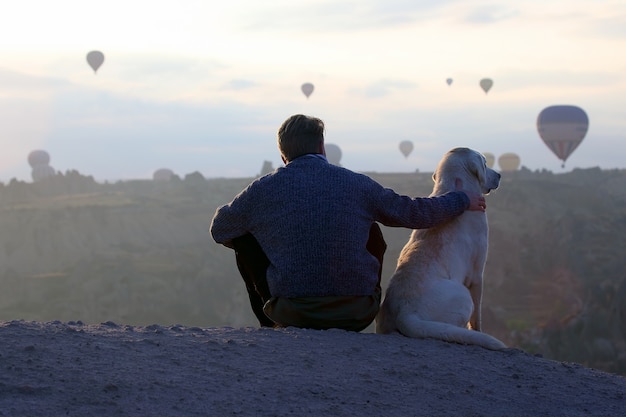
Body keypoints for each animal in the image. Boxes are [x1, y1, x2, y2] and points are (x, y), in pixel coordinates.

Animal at [372, 148, 504, 350]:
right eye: (484, 163)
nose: (499, 175)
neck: (454, 188)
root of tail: (405, 313)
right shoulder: (477, 274)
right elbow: (477, 319)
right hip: (463, 296)